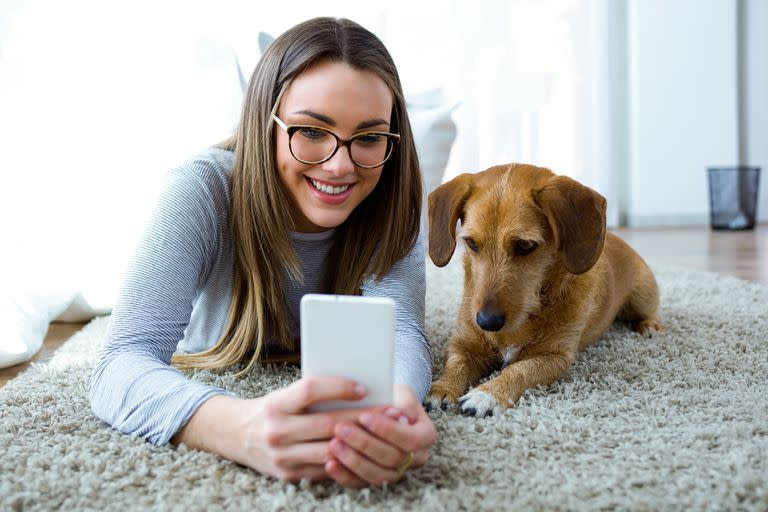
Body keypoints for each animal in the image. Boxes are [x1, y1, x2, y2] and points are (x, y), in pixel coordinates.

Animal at [424, 164, 664, 416]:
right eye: (471, 243)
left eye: (525, 245)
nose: (486, 322)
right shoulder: (463, 346)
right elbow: (456, 365)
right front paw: (442, 388)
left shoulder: (555, 358)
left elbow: (519, 370)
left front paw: (488, 394)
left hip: (642, 297)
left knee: (651, 312)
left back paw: (649, 326)